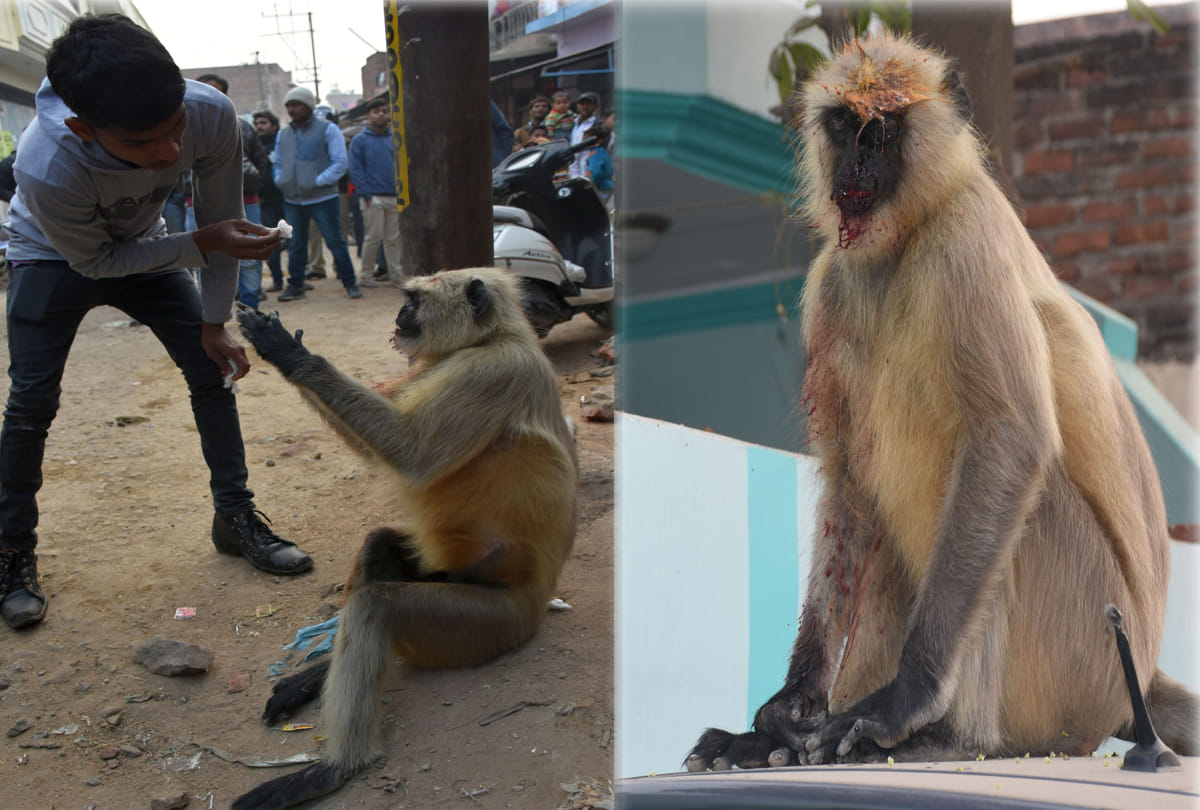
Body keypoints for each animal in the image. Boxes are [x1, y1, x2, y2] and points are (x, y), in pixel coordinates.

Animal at [229, 268, 578, 810]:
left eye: (412, 302)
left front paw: (285, 349)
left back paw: (336, 768)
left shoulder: (495, 369)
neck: (491, 337)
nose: (398, 316)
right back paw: (317, 677)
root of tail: (539, 605)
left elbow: (410, 452)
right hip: (446, 578)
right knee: (378, 547)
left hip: (491, 625)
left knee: (379, 606)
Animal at [685, 34, 1198, 772]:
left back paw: (950, 736)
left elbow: (1011, 440)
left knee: (1019, 488)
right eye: (844, 125)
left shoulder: (965, 236)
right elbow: (851, 486)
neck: (902, 241)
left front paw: (909, 696)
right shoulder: (834, 283)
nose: (859, 163)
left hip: (1090, 650)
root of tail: (1142, 673)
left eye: (884, 129)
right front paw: (790, 708)